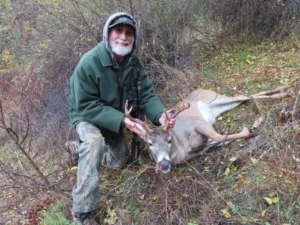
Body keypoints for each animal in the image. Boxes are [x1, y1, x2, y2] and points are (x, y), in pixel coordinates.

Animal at [125, 84, 292, 174]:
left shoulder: (197, 122)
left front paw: (247, 130)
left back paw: (285, 92)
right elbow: (217, 141)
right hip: (220, 106)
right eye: (150, 143)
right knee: (246, 98)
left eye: (169, 140)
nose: (164, 164)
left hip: (216, 99)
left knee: (245, 95)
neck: (181, 147)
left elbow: (219, 136)